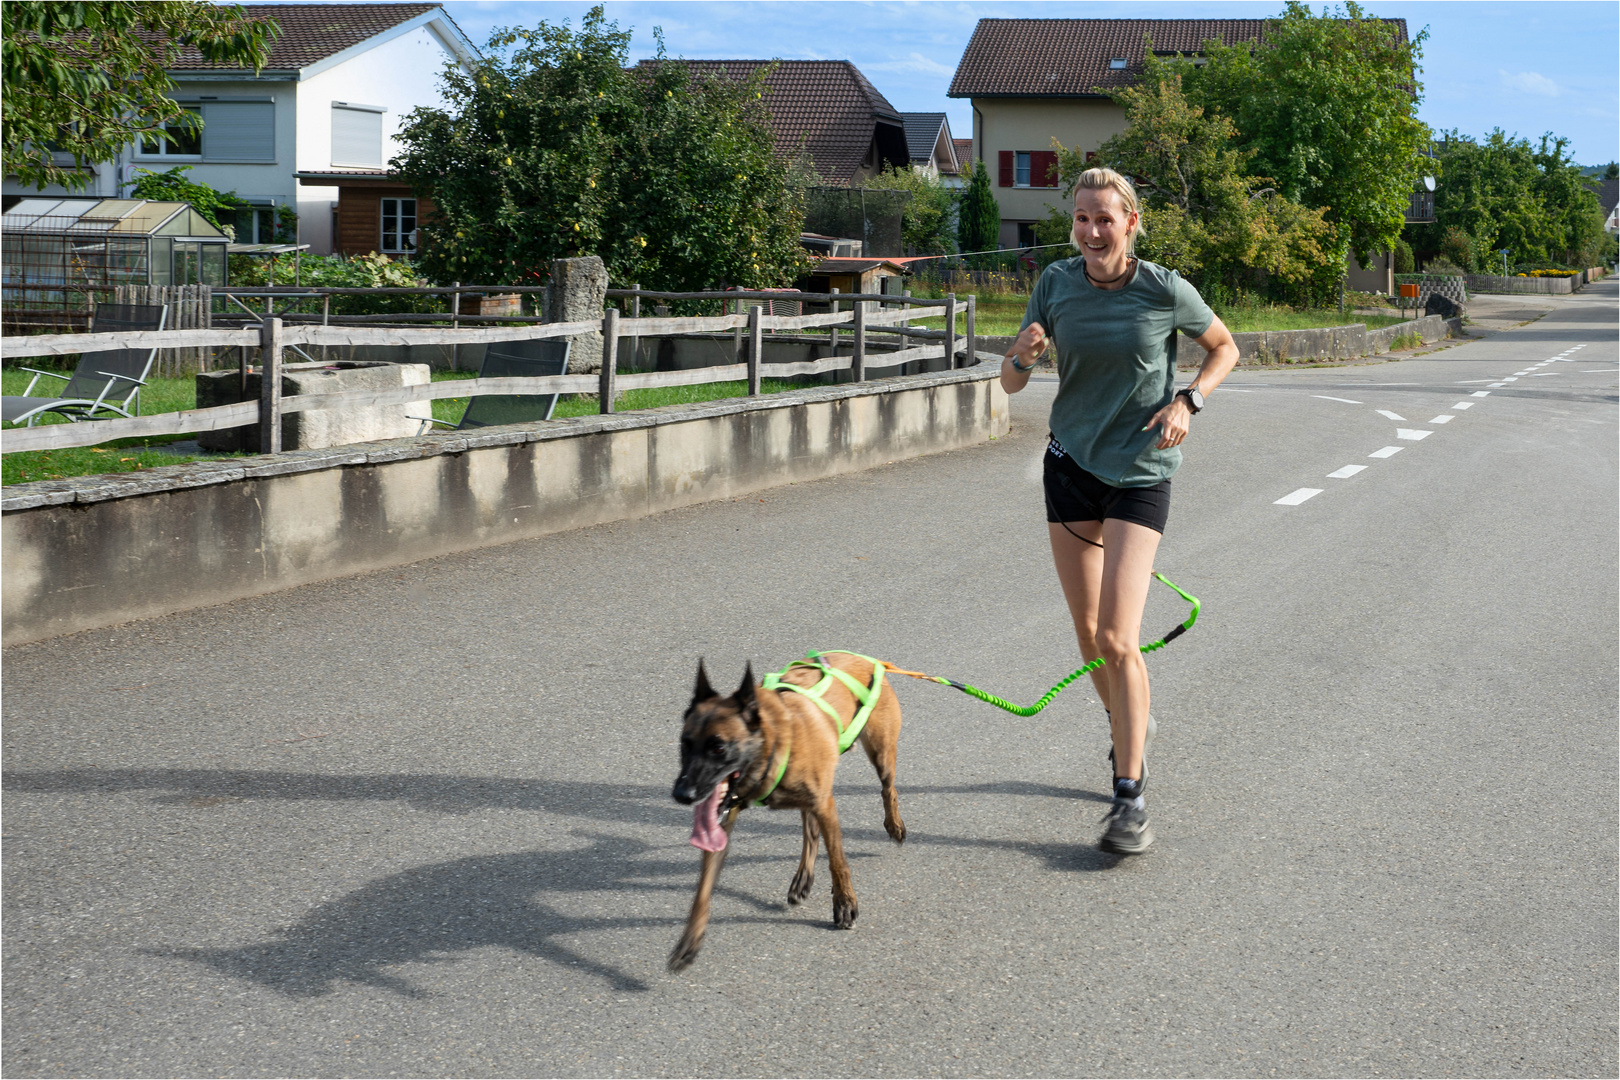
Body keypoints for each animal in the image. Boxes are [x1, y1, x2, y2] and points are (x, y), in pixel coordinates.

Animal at [664, 654, 907, 977]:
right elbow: (702, 892)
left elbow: (838, 863)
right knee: (810, 832)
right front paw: (689, 942)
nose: (682, 794)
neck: (773, 742)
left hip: (881, 755)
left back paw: (894, 825)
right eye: (685, 743)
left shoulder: (825, 804)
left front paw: (845, 905)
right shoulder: (724, 825)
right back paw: (803, 879)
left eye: (718, 747)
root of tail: (865, 658)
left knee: (887, 789)